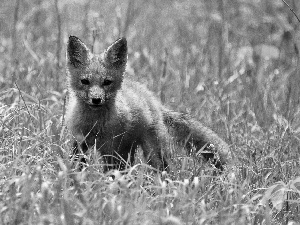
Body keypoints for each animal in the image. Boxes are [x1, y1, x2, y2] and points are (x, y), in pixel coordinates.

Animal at [65, 35, 230, 172]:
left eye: (107, 82)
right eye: (85, 81)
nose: (96, 99)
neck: (95, 124)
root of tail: (153, 100)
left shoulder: (111, 148)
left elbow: (111, 173)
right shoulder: (79, 142)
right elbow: (76, 165)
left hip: (151, 151)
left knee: (163, 170)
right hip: (129, 148)